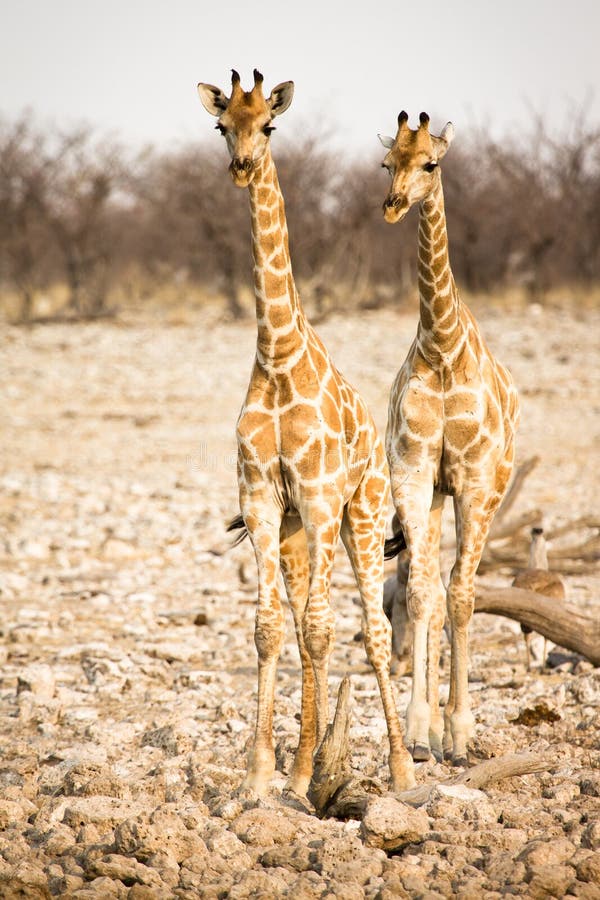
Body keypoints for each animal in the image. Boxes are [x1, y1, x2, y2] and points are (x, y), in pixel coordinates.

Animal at [199, 74, 414, 800]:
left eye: (268, 125)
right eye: (222, 126)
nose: (240, 167)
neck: (277, 353)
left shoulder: (321, 499)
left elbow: (324, 630)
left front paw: (293, 778)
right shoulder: (264, 501)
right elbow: (269, 629)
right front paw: (262, 775)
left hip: (361, 515)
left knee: (370, 630)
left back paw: (400, 768)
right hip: (298, 531)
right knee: (300, 623)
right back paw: (309, 762)